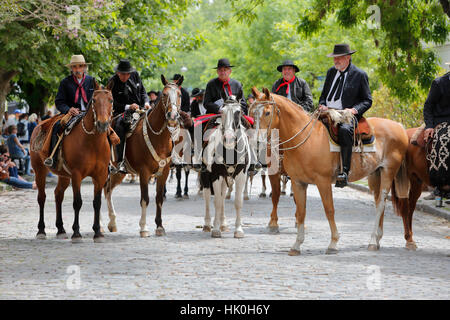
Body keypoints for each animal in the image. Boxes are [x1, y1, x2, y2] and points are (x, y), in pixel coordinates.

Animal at [30, 80, 114, 242]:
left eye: (111, 100)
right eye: (94, 100)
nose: (102, 124)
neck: (92, 142)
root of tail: (38, 125)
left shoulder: (100, 176)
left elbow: (97, 203)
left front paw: (97, 232)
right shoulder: (77, 174)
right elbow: (77, 202)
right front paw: (76, 233)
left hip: (63, 175)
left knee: (58, 195)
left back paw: (61, 229)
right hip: (39, 171)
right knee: (42, 197)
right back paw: (41, 230)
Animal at [104, 75, 182, 238]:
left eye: (179, 94)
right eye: (164, 94)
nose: (172, 116)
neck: (158, 137)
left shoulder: (164, 172)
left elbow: (159, 198)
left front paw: (159, 226)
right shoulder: (144, 172)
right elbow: (145, 199)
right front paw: (144, 228)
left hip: (118, 174)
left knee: (107, 190)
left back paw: (112, 223)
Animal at [200, 99, 250, 238]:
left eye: (238, 112)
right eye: (222, 112)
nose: (229, 138)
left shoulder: (241, 175)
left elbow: (237, 202)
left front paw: (238, 230)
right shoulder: (215, 175)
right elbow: (216, 202)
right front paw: (216, 229)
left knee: (222, 196)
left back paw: (223, 224)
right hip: (207, 176)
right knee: (208, 196)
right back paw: (207, 224)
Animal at [251, 87, 410, 255]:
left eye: (267, 112)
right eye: (252, 112)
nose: (257, 142)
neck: (306, 139)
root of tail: (399, 126)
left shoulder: (323, 182)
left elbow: (329, 210)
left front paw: (333, 243)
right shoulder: (298, 182)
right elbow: (301, 212)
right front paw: (296, 245)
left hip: (388, 171)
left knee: (380, 203)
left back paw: (373, 240)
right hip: (375, 174)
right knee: (379, 201)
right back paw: (377, 239)